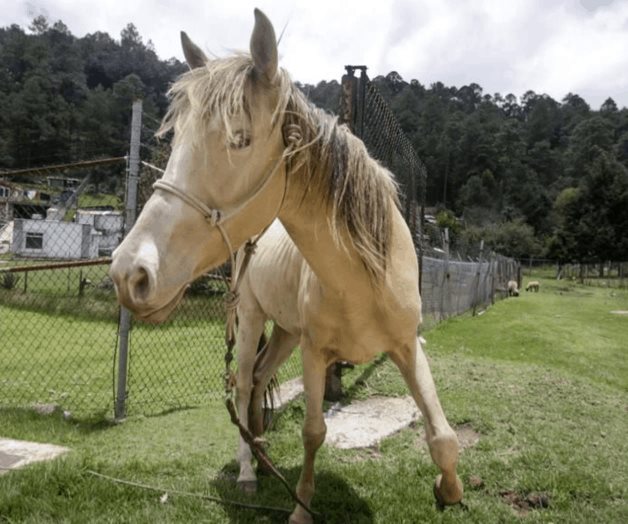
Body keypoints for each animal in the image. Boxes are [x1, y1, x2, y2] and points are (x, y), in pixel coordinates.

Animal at [108, 9, 462, 524]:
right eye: (175, 142)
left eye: (240, 139)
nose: (128, 273)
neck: (362, 281)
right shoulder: (315, 354)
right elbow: (314, 432)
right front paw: (300, 507)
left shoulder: (406, 345)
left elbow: (442, 433)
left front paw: (450, 490)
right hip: (253, 318)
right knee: (240, 385)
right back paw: (248, 471)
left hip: (285, 331)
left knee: (257, 381)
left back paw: (260, 449)